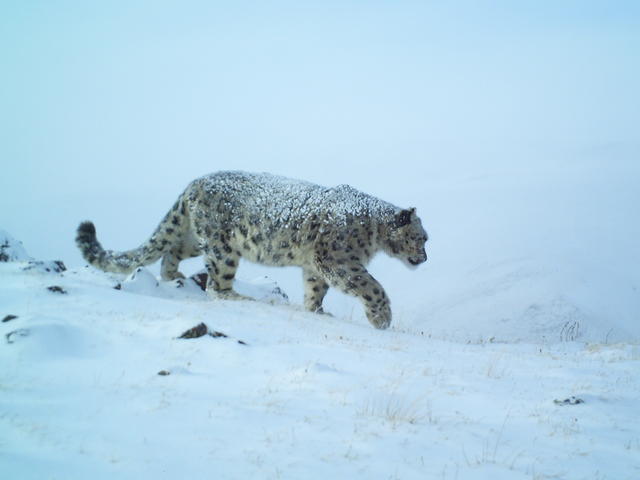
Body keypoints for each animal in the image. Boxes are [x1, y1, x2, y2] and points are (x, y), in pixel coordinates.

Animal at [75, 172, 428, 330]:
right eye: (421, 238)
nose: (425, 259)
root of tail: (193, 184)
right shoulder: (337, 259)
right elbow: (371, 286)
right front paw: (382, 317)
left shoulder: (315, 265)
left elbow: (315, 290)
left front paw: (316, 311)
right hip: (222, 247)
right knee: (217, 285)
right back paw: (244, 297)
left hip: (193, 239)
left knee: (169, 252)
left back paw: (175, 278)